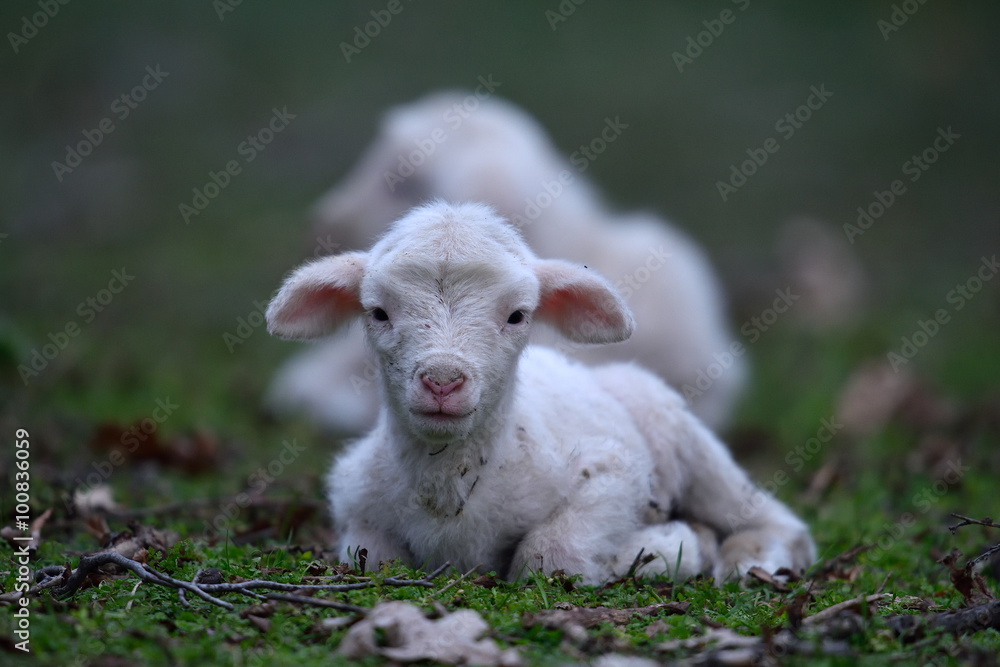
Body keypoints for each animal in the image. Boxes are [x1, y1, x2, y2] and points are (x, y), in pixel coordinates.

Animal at [266, 201, 814, 585]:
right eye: (378, 312)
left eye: (517, 315)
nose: (442, 380)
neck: (450, 489)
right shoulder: (354, 501)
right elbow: (375, 558)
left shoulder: (612, 472)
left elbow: (552, 556)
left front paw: (667, 546)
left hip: (683, 437)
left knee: (769, 517)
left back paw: (750, 557)